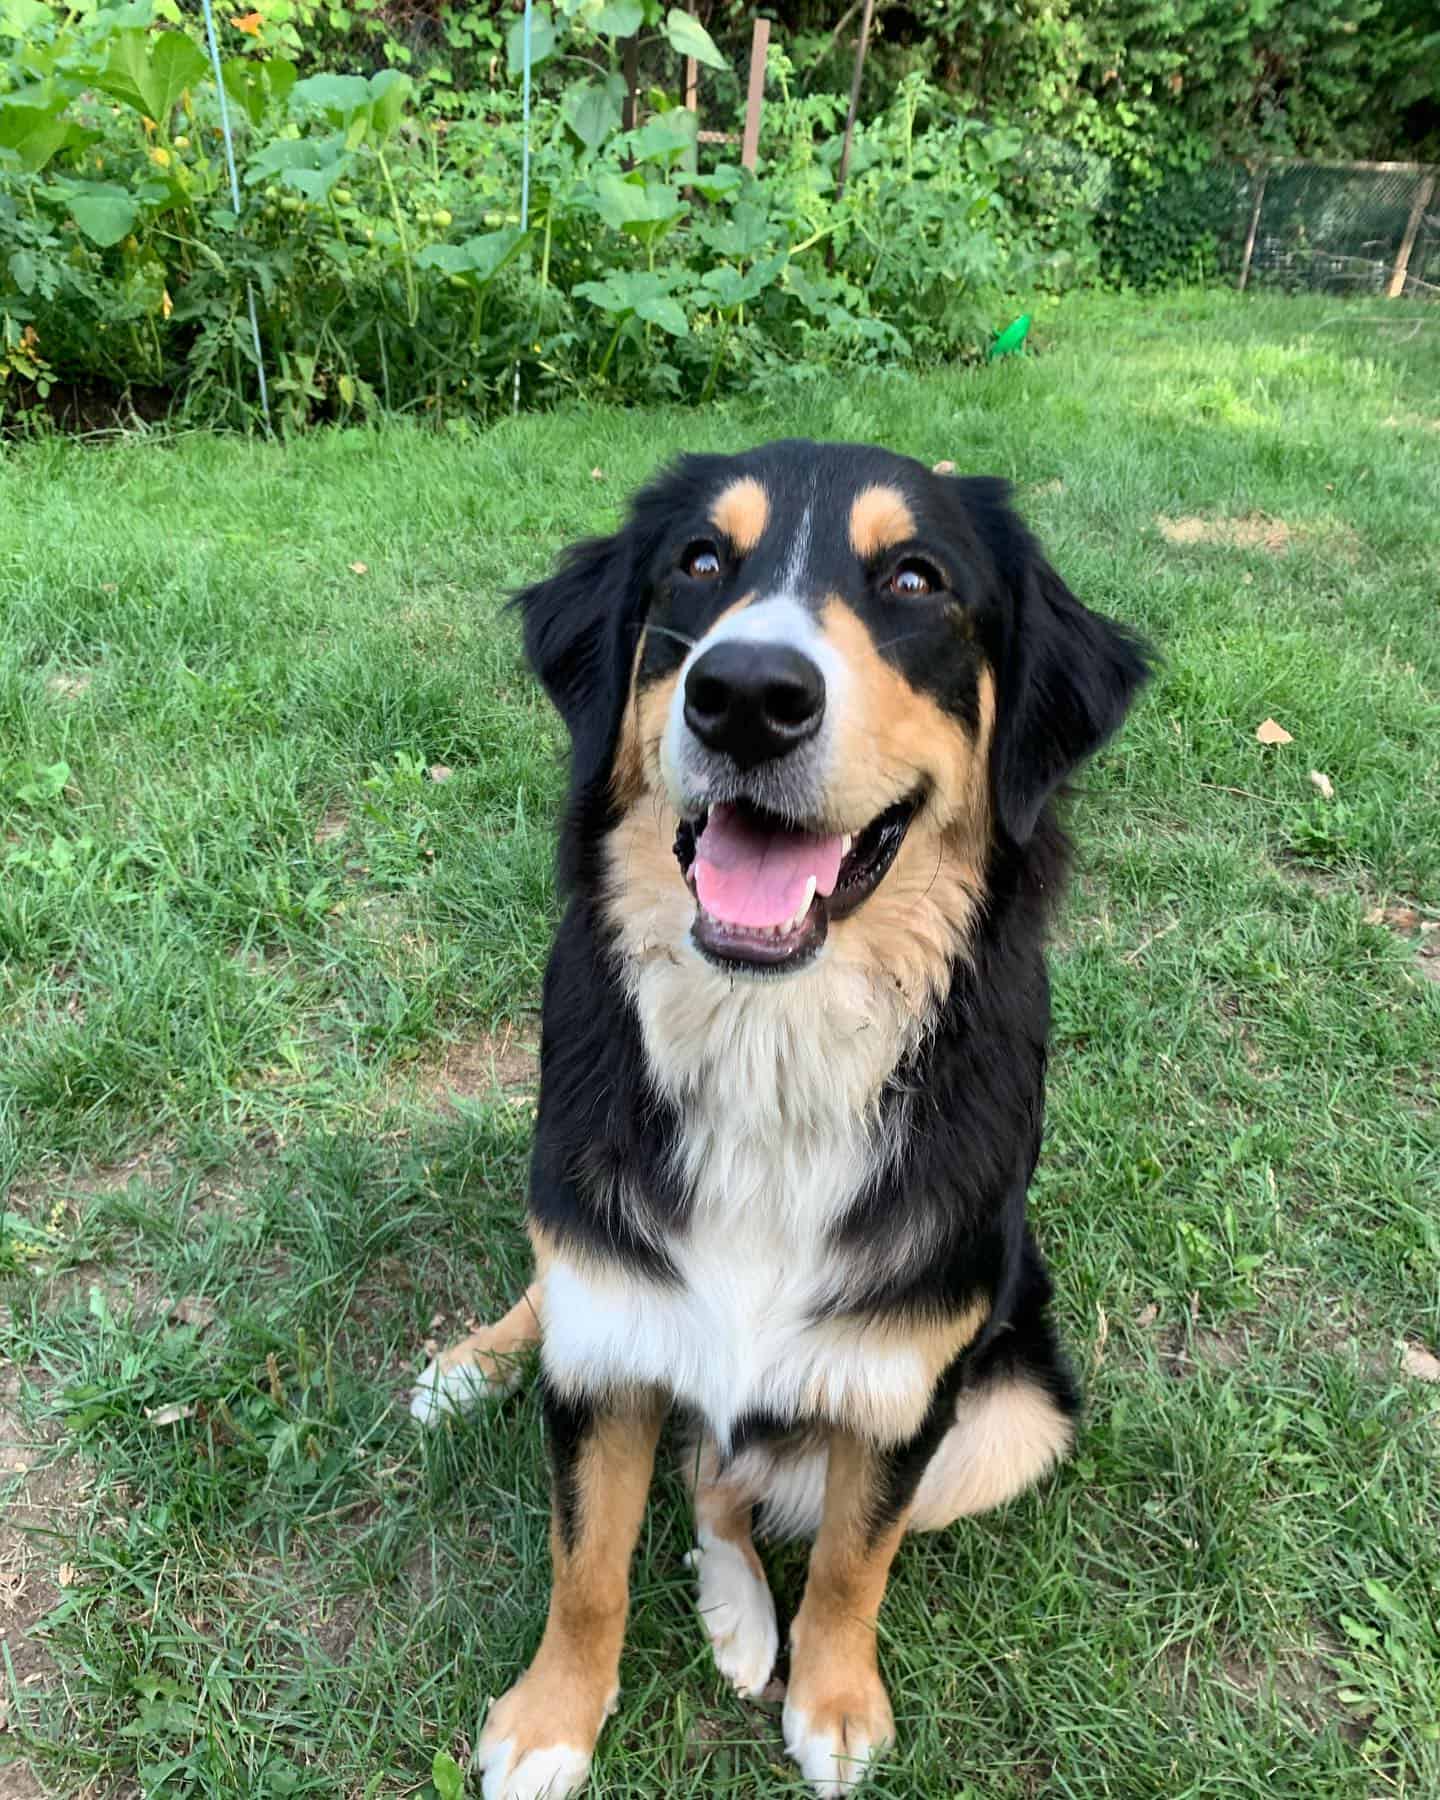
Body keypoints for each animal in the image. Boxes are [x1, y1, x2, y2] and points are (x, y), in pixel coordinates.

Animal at [414, 439, 1144, 1800]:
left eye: (916, 579)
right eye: (701, 562)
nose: (745, 694)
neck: (771, 1045)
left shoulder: (910, 1380)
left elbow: (857, 1558)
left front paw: (836, 1703)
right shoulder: (606, 1334)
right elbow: (585, 1564)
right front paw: (551, 1722)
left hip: (1017, 1410)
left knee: (731, 1470)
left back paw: (745, 1617)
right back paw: (473, 1365)